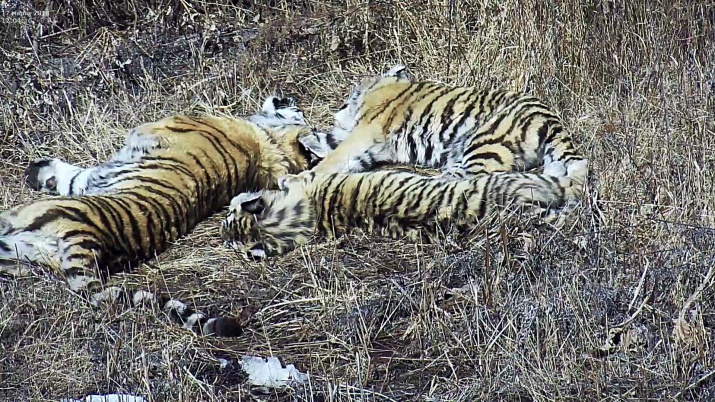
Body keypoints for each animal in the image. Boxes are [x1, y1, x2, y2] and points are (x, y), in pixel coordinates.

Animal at [0, 96, 342, 336]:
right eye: (300, 111)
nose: (290, 98)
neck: (269, 141)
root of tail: (92, 244)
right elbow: (71, 177)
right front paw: (38, 172)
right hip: (20, 255)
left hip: (20, 217)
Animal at [312, 65, 588, 181]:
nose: (338, 110)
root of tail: (552, 118)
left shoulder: (366, 131)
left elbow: (334, 156)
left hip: (484, 141)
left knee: (462, 180)